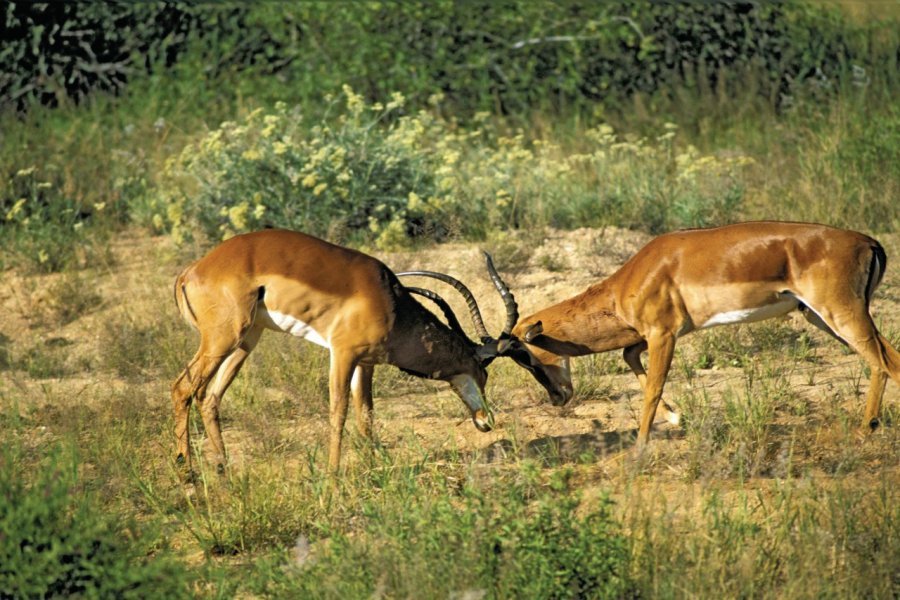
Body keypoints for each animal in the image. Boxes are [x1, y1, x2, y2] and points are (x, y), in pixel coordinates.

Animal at [170, 227, 536, 472]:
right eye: (483, 369)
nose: (486, 419)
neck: (392, 305)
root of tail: (191, 271)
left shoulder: (365, 362)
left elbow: (366, 414)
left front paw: (375, 467)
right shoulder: (342, 354)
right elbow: (339, 413)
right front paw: (332, 479)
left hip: (247, 340)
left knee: (210, 397)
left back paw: (223, 472)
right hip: (223, 339)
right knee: (183, 388)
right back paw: (188, 477)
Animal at [506, 220, 900, 446]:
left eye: (525, 354)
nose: (557, 399)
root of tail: (868, 242)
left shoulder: (663, 334)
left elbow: (652, 388)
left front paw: (639, 448)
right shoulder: (648, 337)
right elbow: (631, 361)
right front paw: (676, 417)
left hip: (842, 315)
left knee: (882, 364)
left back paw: (867, 428)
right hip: (823, 318)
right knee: (891, 359)